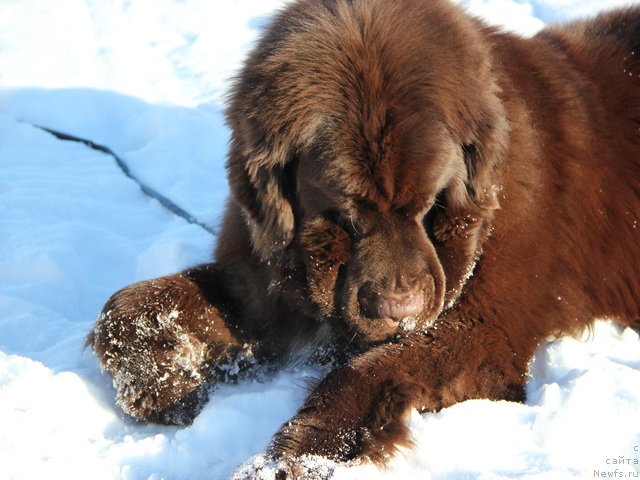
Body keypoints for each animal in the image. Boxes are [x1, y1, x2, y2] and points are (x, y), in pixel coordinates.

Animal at [89, 0, 640, 476]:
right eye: (348, 215)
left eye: (427, 204)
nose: (401, 308)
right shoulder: (262, 279)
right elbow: (128, 308)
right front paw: (166, 384)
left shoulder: (483, 329)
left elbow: (363, 373)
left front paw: (293, 460)